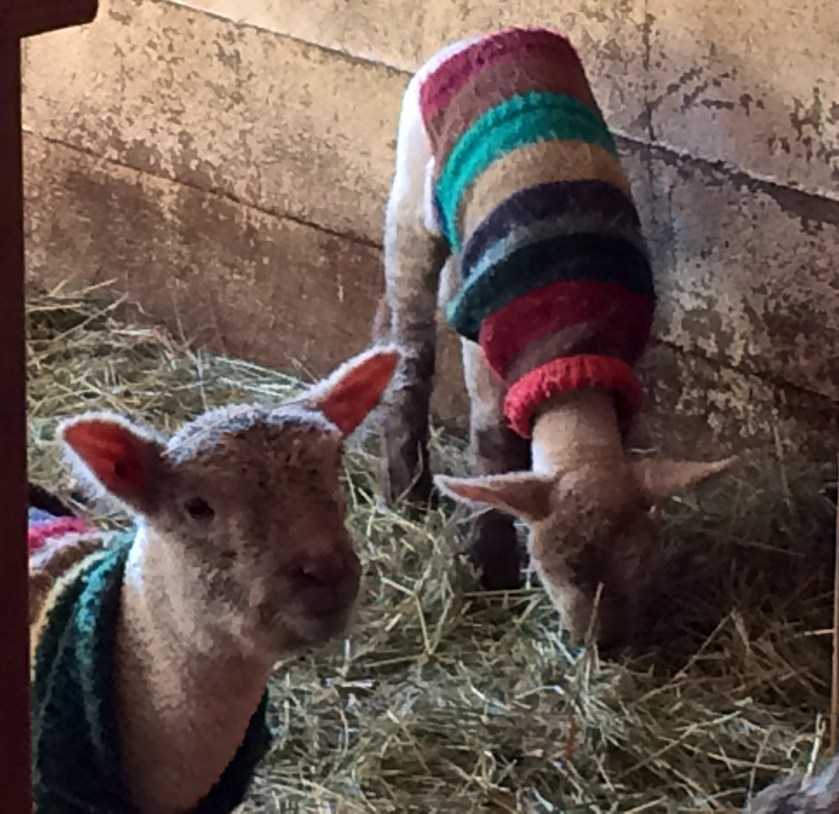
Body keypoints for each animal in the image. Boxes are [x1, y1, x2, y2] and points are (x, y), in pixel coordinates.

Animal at [374, 26, 735, 648]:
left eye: (645, 563)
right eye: (549, 571)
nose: (604, 646)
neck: (571, 350)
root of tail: (486, 34)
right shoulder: (489, 352)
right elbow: (492, 442)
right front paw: (488, 560)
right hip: (412, 195)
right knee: (411, 337)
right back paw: (407, 485)